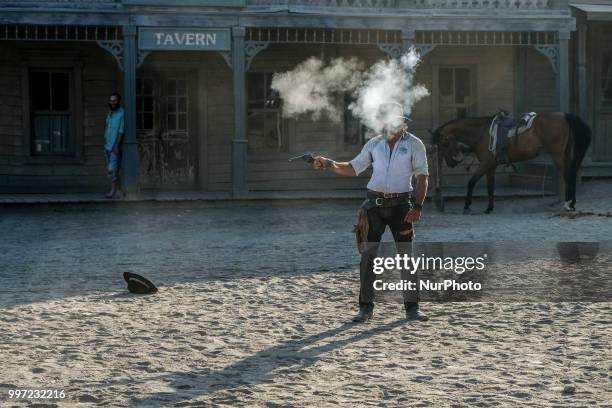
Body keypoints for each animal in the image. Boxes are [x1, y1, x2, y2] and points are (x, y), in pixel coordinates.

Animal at [432, 111, 592, 214]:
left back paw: (568, 204)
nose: (450, 163)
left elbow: (471, 182)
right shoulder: (491, 166)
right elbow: (490, 187)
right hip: (567, 154)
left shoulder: (485, 164)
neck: (482, 132)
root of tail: (565, 116)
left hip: (558, 156)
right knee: (572, 174)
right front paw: (489, 208)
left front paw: (467, 206)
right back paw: (572, 203)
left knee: (568, 176)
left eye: (443, 144)